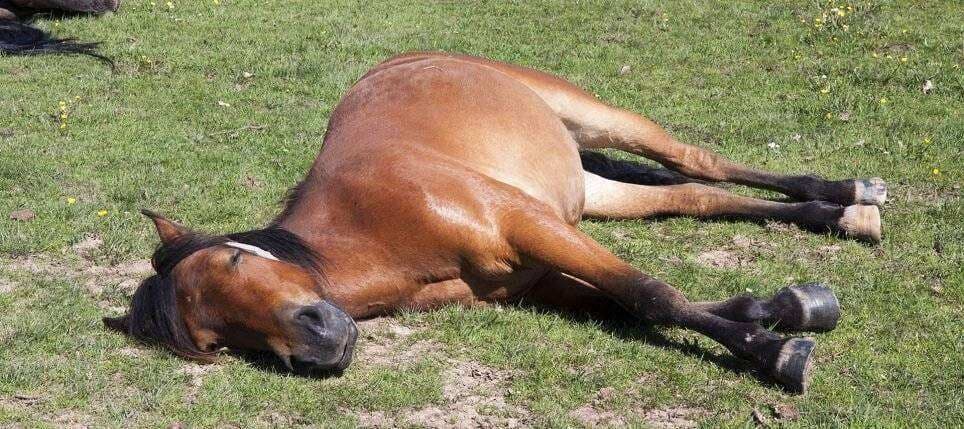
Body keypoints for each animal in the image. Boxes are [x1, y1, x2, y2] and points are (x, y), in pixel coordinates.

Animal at [103, 52, 885, 394]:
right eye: (216, 341)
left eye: (235, 260)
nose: (317, 343)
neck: (375, 228)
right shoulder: (533, 277)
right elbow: (631, 303)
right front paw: (784, 308)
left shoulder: (529, 223)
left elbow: (651, 294)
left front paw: (776, 354)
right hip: (587, 190)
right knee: (691, 193)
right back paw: (843, 211)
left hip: (591, 119)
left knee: (696, 160)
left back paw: (854, 192)